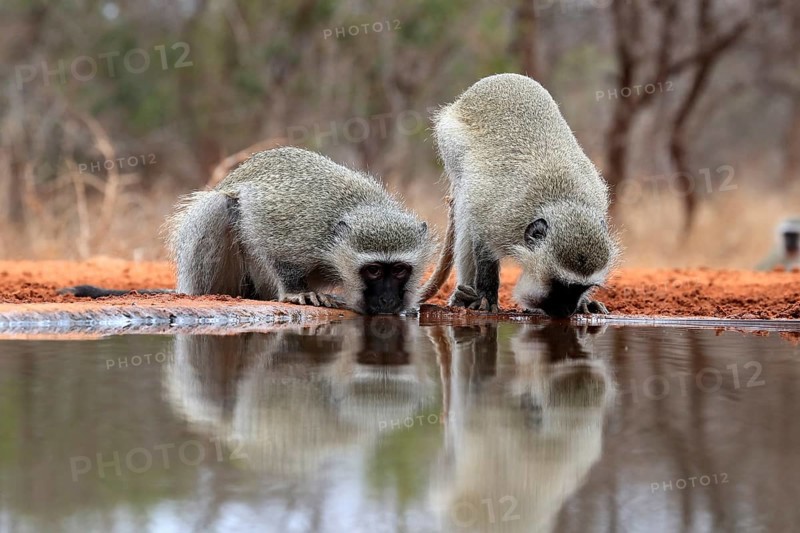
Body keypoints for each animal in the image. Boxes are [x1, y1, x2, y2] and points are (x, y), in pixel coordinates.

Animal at [62, 147, 435, 315]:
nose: (387, 301)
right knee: (220, 206)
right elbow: (262, 228)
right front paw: (298, 291)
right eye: (373, 271)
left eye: (399, 271)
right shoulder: (299, 223)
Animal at [419, 73, 620, 317]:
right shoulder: (497, 217)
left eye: (580, 288)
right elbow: (482, 245)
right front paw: (486, 296)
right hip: (450, 142)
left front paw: (585, 303)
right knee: (465, 216)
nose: (567, 310)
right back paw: (463, 298)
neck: (559, 200)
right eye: (560, 286)